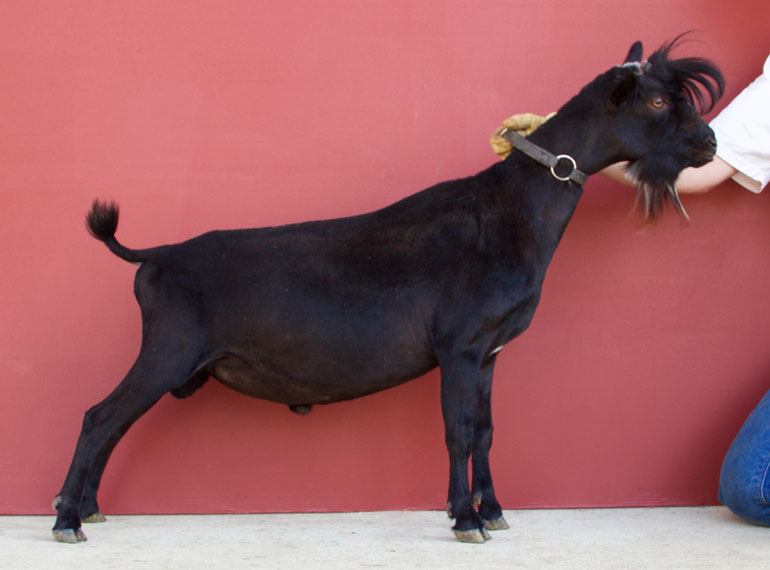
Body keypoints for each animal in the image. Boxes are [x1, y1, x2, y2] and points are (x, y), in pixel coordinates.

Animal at [52, 37, 720, 544]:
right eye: (657, 99)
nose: (710, 143)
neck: (511, 212)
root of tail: (157, 255)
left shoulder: (489, 354)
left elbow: (485, 431)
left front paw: (495, 512)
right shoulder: (459, 347)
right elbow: (456, 431)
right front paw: (466, 520)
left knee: (111, 423)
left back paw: (86, 510)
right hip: (167, 351)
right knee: (99, 417)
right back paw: (65, 519)